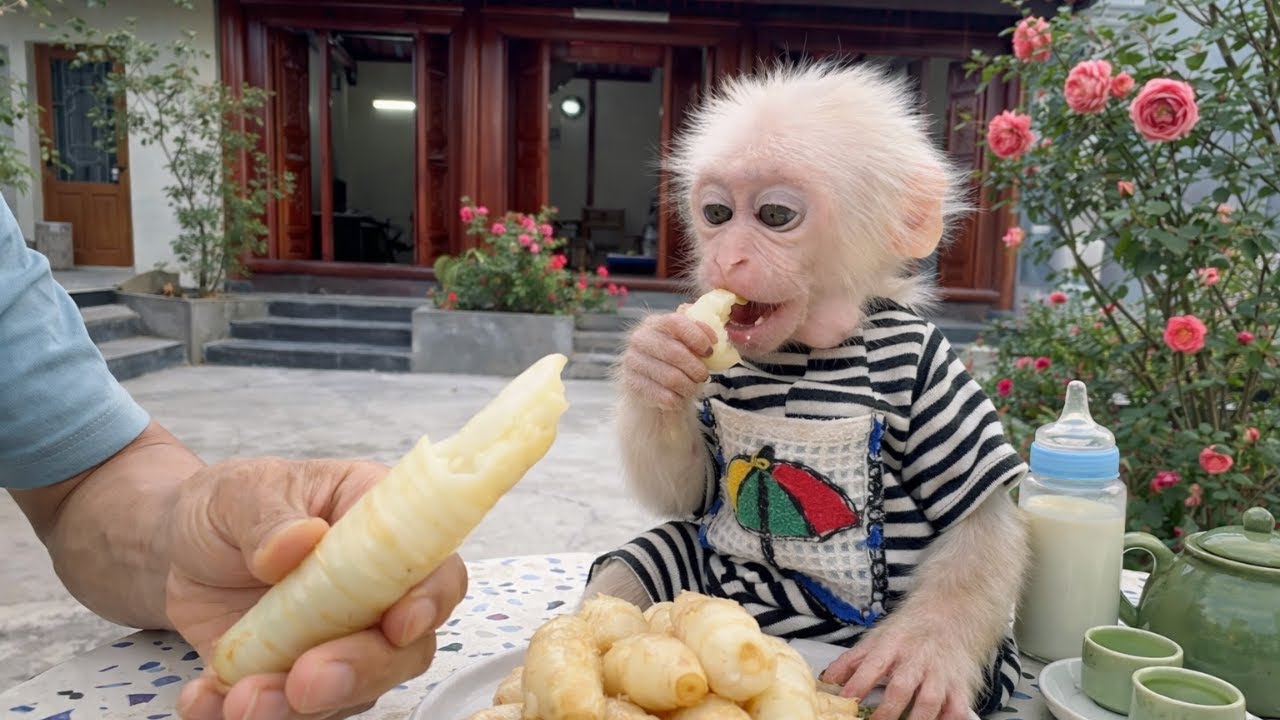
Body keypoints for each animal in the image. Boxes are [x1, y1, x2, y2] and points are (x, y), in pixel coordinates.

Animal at [582, 60, 1031, 720]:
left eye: (774, 216)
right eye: (717, 214)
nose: (728, 257)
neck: (805, 353)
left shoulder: (929, 364)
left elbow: (980, 519)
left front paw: (921, 652)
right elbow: (694, 488)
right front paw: (654, 361)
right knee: (655, 555)